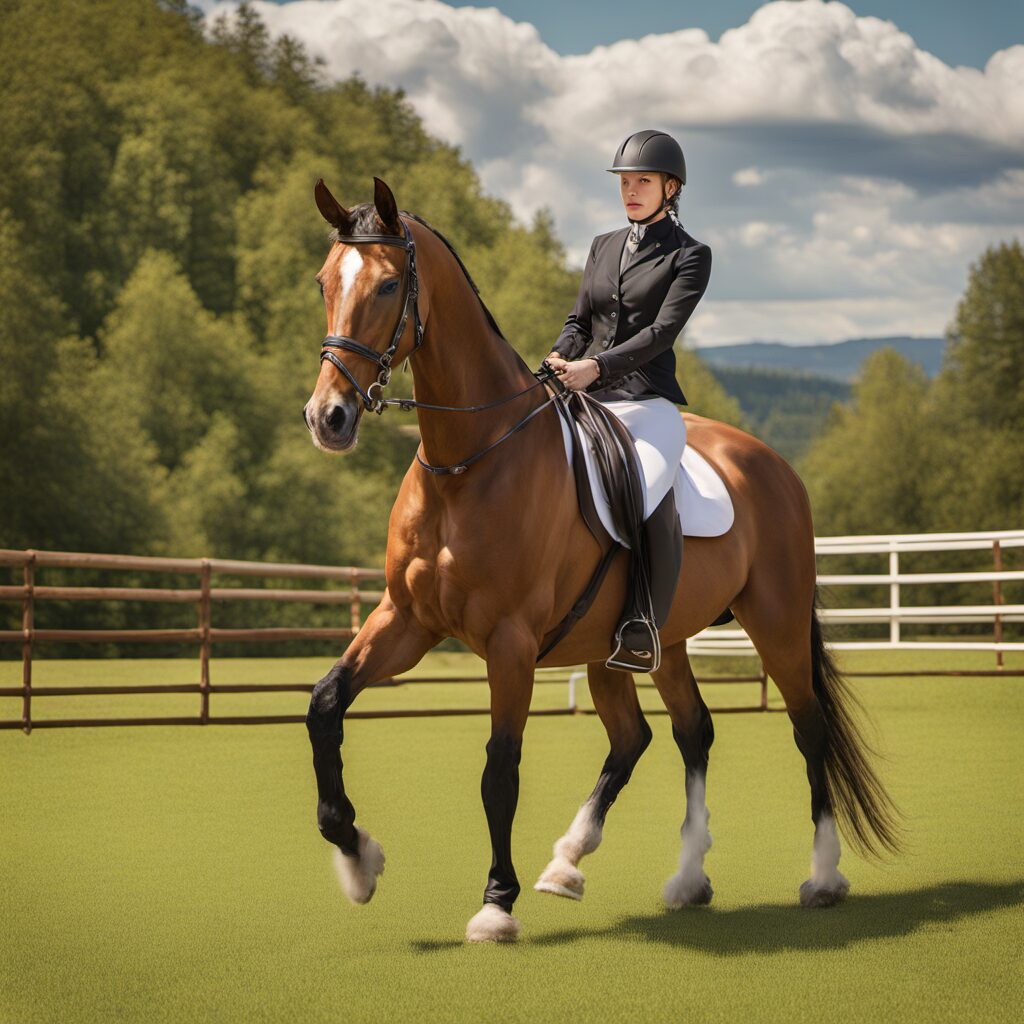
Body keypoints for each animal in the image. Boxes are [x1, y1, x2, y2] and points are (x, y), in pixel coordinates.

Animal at [302, 176, 900, 943]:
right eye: (326, 282)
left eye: (385, 286)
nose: (328, 418)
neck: (469, 461)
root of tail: (772, 464)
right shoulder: (407, 620)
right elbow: (325, 705)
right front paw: (357, 857)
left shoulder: (510, 642)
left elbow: (500, 768)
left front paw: (496, 905)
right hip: (645, 641)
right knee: (672, 734)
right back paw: (651, 873)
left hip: (778, 623)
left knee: (807, 729)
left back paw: (822, 878)